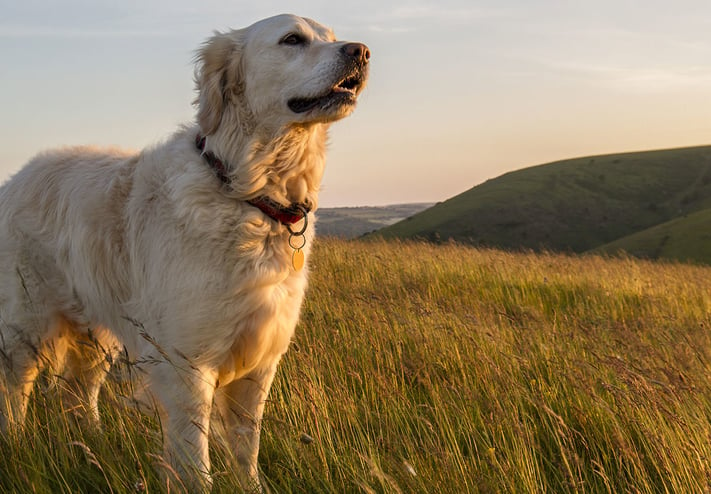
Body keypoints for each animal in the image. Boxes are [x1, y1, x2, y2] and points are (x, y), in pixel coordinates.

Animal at [0, 13, 368, 492]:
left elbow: (246, 447)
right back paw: (15, 445)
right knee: (15, 389)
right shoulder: (186, 365)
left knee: (77, 394)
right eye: (292, 39)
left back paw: (89, 446)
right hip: (28, 323)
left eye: (333, 36)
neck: (247, 192)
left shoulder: (259, 364)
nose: (361, 51)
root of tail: (17, 177)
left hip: (97, 333)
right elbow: (196, 460)